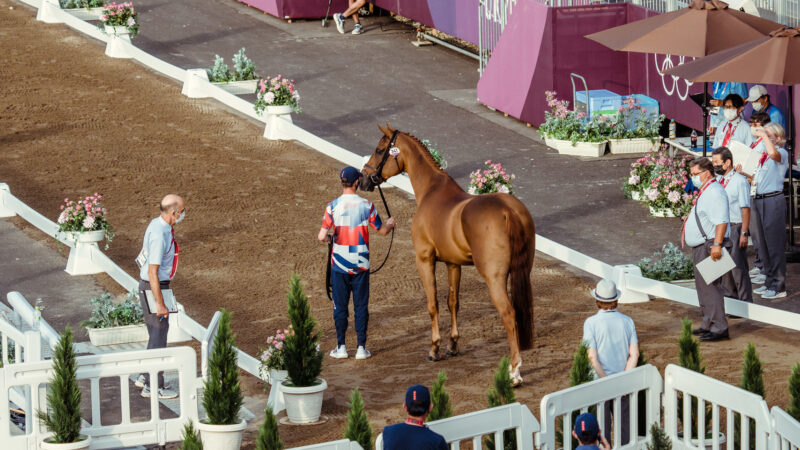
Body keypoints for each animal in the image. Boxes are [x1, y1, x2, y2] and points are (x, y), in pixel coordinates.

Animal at [362, 125, 536, 384]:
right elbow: (453, 302)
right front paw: (453, 345)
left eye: (380, 150)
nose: (363, 178)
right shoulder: (453, 264)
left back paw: (514, 371)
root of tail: (508, 211)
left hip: (494, 278)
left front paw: (434, 349)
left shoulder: (424, 259)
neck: (431, 192)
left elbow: (432, 303)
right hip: (522, 271)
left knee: (508, 313)